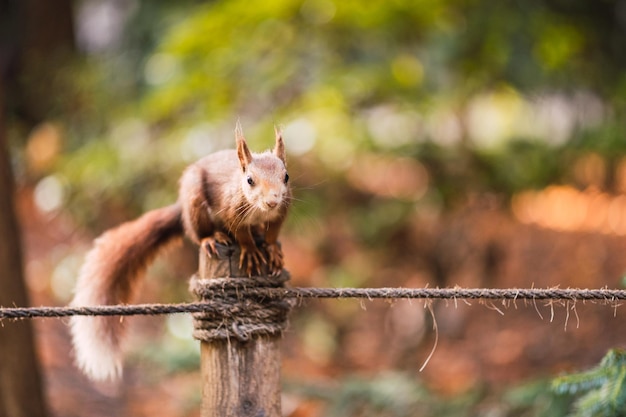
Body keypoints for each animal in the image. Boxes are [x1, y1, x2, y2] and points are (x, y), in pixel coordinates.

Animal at [70, 123, 290, 380]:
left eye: (286, 176)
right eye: (249, 180)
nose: (272, 201)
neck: (259, 211)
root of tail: (181, 208)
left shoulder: (281, 211)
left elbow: (273, 233)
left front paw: (271, 249)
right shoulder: (231, 210)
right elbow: (241, 233)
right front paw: (251, 250)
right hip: (195, 203)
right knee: (198, 232)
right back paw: (212, 238)